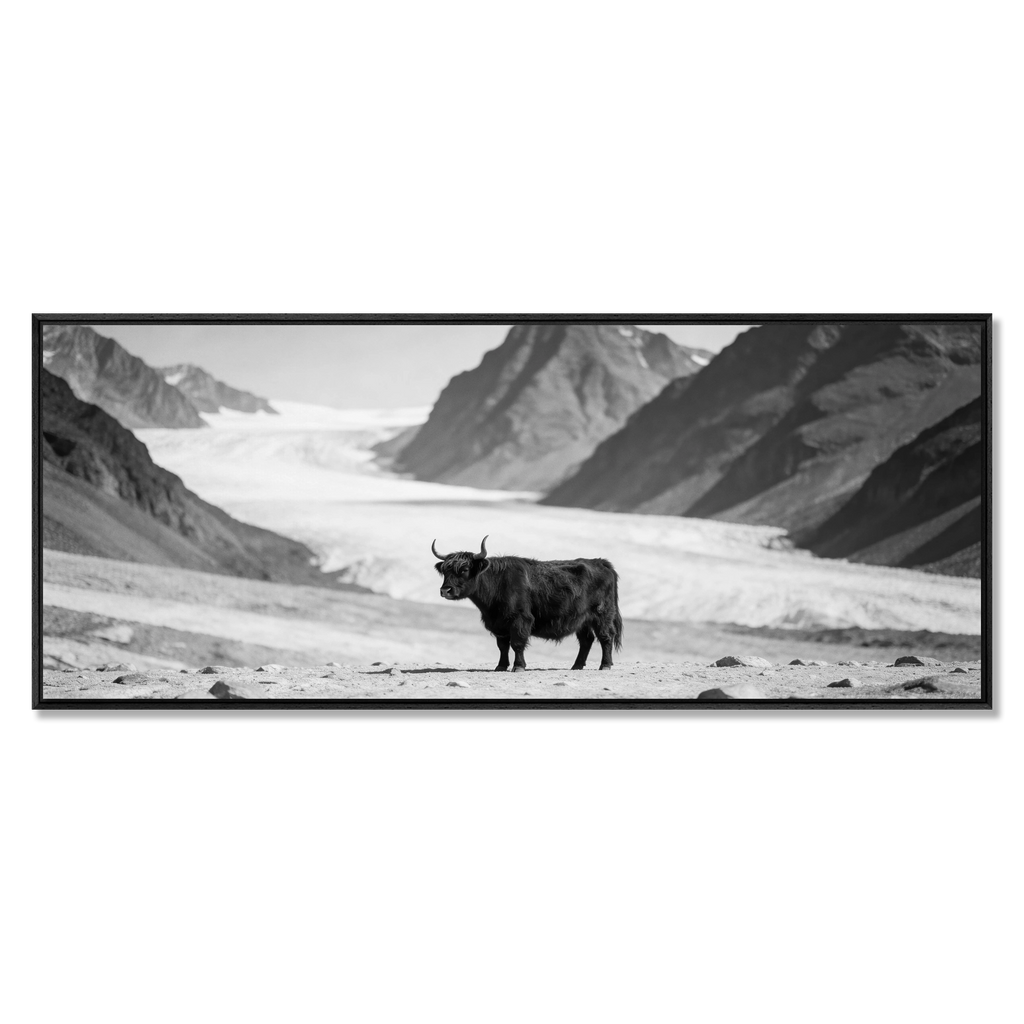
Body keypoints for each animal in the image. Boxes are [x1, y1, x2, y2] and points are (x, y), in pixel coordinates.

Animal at [432, 535, 622, 672]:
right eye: (445, 570)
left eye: (464, 569)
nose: (445, 590)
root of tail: (601, 562)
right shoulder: (498, 623)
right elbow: (502, 646)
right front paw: (500, 666)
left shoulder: (520, 619)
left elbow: (517, 643)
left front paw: (518, 667)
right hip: (582, 619)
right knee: (586, 640)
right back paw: (576, 666)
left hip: (602, 615)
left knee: (606, 637)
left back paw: (605, 665)